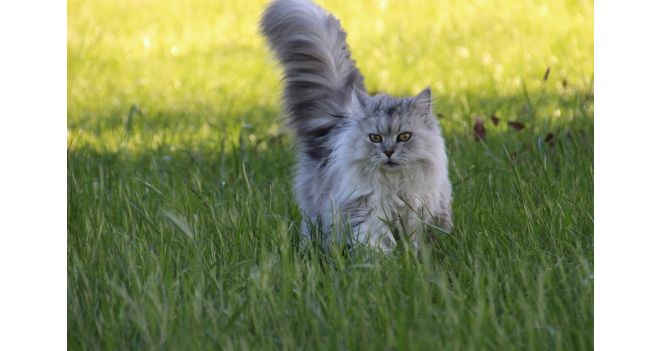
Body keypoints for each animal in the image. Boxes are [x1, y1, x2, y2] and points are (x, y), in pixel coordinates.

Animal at [260, 0, 452, 253]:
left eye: (404, 137)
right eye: (375, 138)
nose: (388, 152)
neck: (394, 185)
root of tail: (340, 119)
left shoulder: (421, 212)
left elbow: (419, 243)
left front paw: (416, 258)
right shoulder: (368, 212)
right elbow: (374, 242)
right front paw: (382, 261)